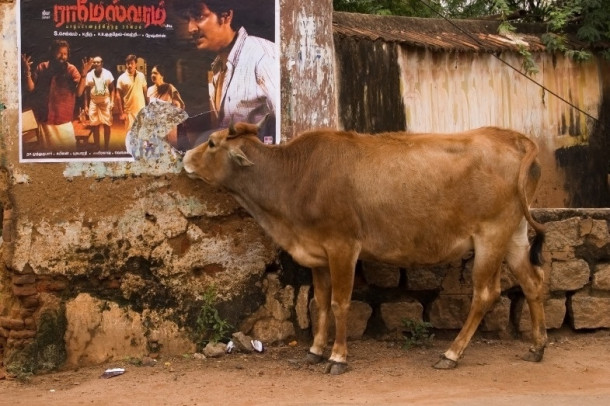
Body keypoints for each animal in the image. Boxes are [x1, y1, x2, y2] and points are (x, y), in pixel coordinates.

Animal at [182, 123, 548, 374]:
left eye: (212, 143)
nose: (184, 156)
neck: (296, 178)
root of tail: (512, 138)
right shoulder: (317, 253)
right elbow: (321, 304)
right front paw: (314, 350)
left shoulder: (343, 245)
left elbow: (341, 303)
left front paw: (338, 357)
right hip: (513, 234)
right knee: (533, 282)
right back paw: (538, 347)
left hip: (490, 236)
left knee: (485, 293)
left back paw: (451, 353)